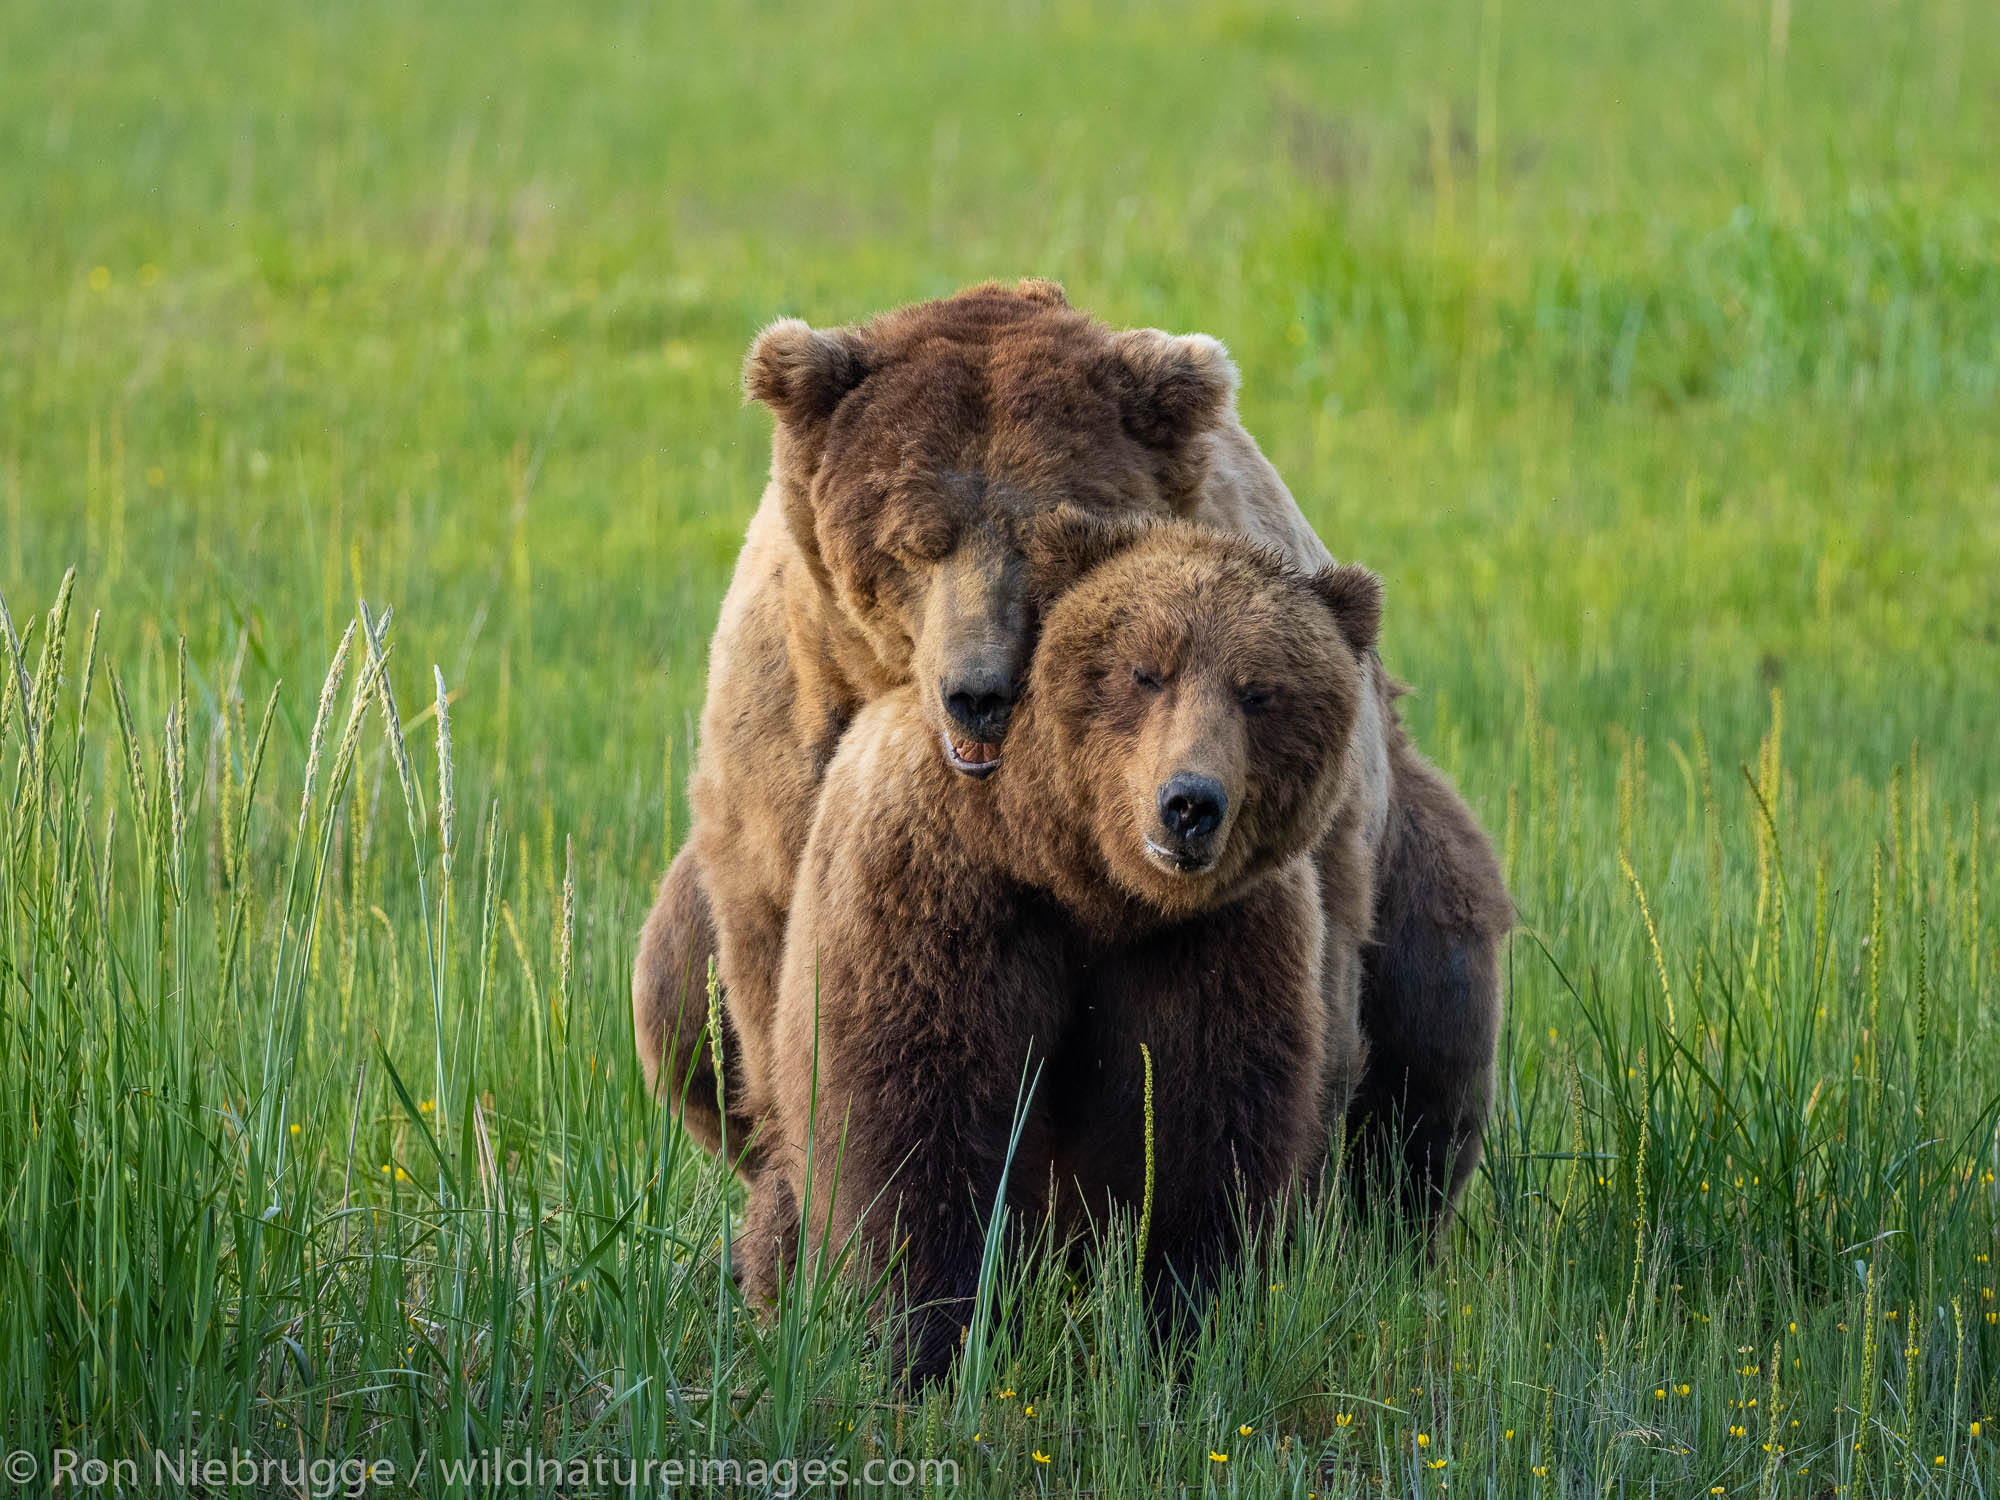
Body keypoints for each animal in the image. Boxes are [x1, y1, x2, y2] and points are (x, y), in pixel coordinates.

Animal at [632, 284, 1504, 1232]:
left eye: (1041, 535)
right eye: (913, 541)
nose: (977, 690)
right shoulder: (791, 744)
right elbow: (791, 987)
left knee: (1433, 1026)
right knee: (671, 996)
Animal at [744, 516, 1384, 1384]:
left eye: (1260, 691)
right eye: (1145, 671)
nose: (1190, 803)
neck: (1082, 880)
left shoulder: (1208, 945)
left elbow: (1193, 1134)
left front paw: (1179, 1329)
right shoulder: (941, 889)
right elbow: (915, 1115)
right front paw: (935, 1339)